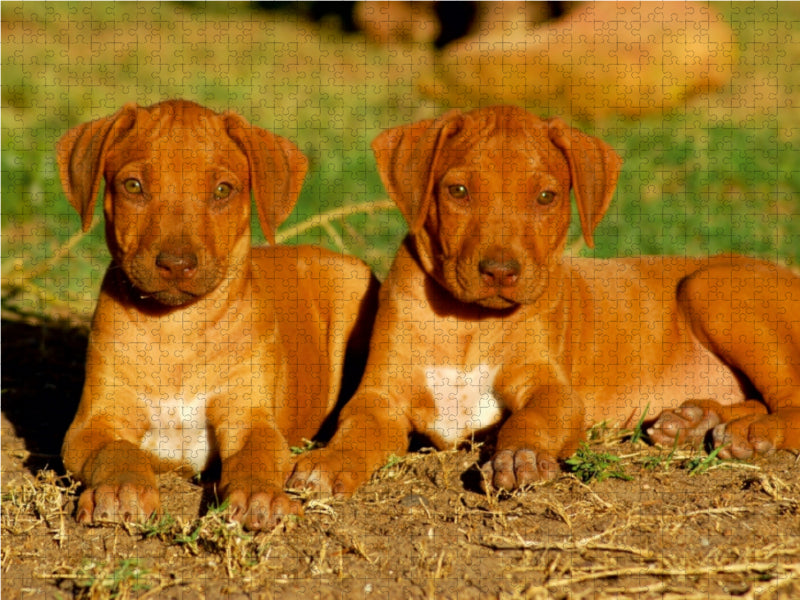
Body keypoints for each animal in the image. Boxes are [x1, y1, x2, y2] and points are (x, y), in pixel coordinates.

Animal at [59, 101, 378, 528]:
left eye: (223, 190)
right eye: (133, 186)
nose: (176, 264)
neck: (176, 328)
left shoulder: (250, 421)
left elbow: (256, 458)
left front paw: (261, 496)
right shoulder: (93, 425)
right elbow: (117, 451)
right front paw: (121, 488)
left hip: (351, 282)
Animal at [290, 105, 800, 494]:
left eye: (546, 197)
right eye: (458, 191)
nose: (500, 272)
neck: (467, 323)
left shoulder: (554, 391)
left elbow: (532, 421)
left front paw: (520, 456)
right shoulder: (379, 397)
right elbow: (355, 430)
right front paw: (330, 461)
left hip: (712, 286)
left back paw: (753, 433)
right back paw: (695, 421)